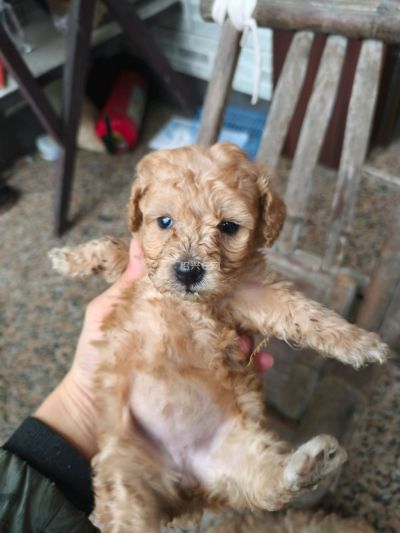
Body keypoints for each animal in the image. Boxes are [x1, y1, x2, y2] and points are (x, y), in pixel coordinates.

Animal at [50, 142, 388, 532]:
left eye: (228, 226)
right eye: (164, 221)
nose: (188, 271)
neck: (187, 303)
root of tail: (186, 486)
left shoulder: (249, 290)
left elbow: (304, 313)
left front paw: (359, 341)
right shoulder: (139, 270)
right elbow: (113, 246)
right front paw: (68, 258)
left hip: (234, 454)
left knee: (269, 486)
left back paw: (312, 463)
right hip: (123, 466)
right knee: (128, 514)